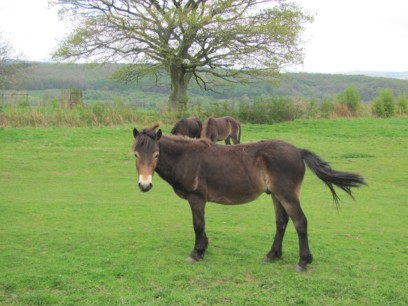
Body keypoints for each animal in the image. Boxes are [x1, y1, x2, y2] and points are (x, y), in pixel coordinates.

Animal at [133, 123, 366, 272]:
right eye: (135, 155)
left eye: (156, 155)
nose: (144, 185)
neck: (187, 157)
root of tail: (298, 151)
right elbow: (202, 225)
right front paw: (204, 248)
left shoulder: (196, 198)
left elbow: (198, 224)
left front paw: (196, 253)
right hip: (276, 195)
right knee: (281, 222)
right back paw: (273, 254)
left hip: (287, 195)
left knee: (300, 222)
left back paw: (303, 262)